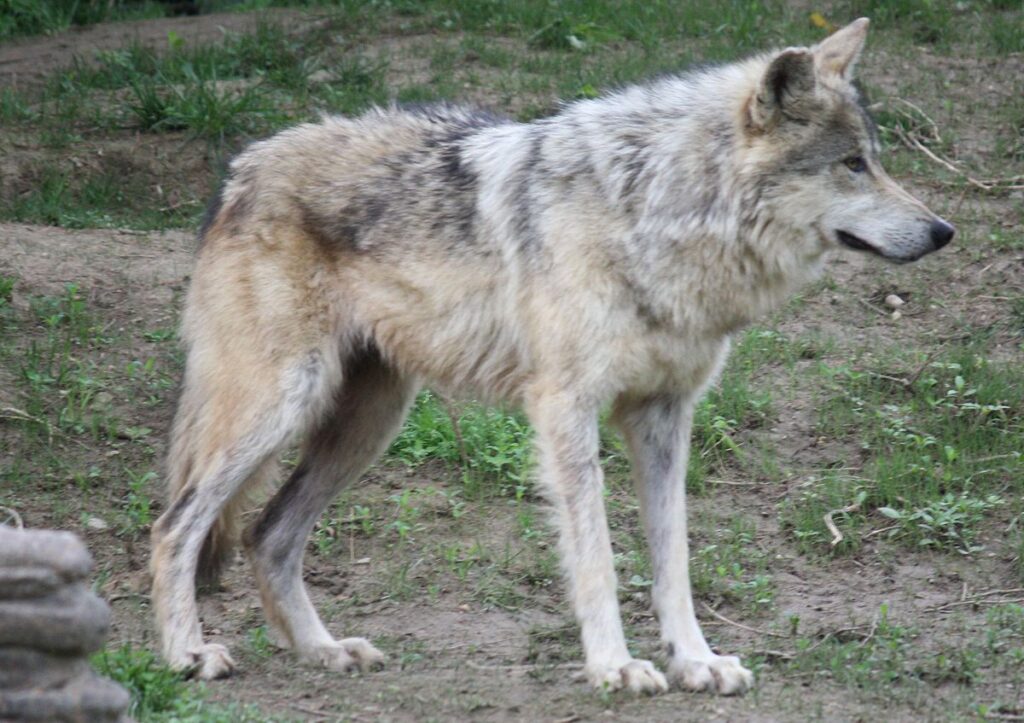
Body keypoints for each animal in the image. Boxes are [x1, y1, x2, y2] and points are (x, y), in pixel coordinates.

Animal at [150, 17, 952, 695]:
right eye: (852, 164)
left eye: (876, 162)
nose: (943, 230)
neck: (657, 212)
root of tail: (240, 167)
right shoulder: (565, 408)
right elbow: (596, 557)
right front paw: (616, 666)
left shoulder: (664, 416)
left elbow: (674, 559)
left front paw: (695, 661)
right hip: (280, 405)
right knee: (174, 525)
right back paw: (187, 653)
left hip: (365, 426)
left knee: (267, 535)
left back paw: (324, 651)